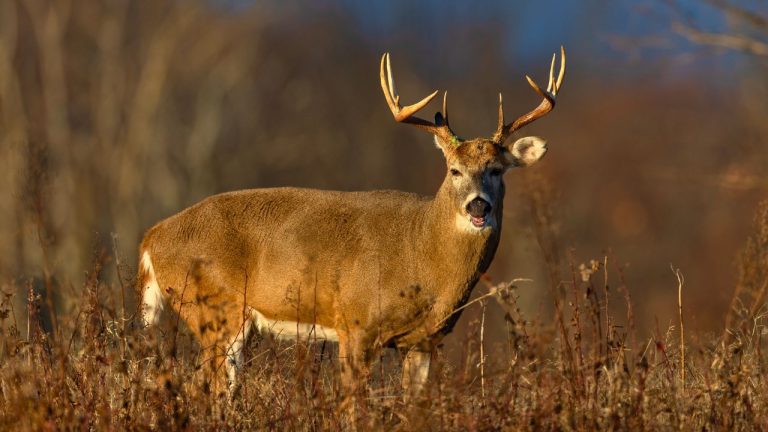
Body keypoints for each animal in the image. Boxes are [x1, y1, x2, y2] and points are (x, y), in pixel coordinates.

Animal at [137, 48, 565, 399]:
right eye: (454, 170)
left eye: (497, 169)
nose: (478, 206)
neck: (422, 256)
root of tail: (151, 238)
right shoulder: (356, 323)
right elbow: (351, 406)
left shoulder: (424, 340)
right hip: (216, 307)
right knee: (205, 387)